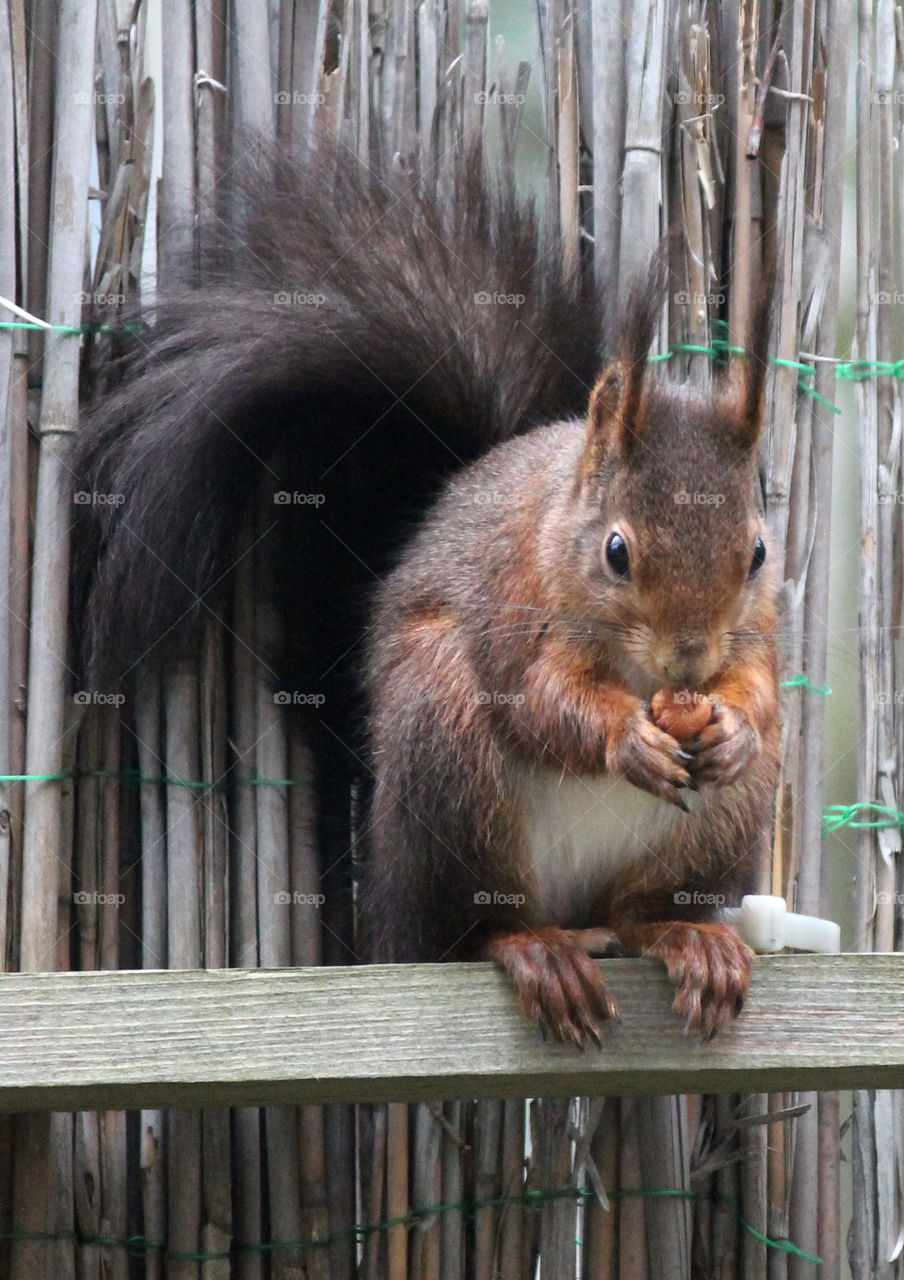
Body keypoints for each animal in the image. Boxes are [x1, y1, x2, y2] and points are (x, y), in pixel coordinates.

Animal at [74, 142, 780, 1048]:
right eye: (617, 552)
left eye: (757, 552)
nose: (689, 660)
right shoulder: (512, 600)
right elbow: (540, 700)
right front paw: (626, 736)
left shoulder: (758, 632)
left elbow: (760, 686)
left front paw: (732, 726)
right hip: (443, 748)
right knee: (465, 930)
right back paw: (532, 950)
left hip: (717, 829)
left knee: (637, 911)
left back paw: (685, 935)